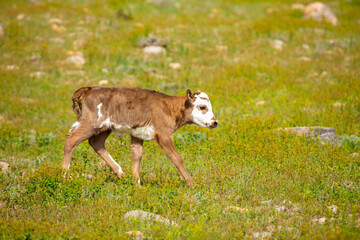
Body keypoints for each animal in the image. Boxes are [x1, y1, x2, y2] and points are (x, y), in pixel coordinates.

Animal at [62, 86, 218, 186]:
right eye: (202, 107)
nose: (215, 122)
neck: (169, 108)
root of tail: (88, 89)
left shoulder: (137, 134)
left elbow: (136, 156)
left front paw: (137, 183)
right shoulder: (164, 135)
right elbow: (176, 158)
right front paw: (192, 184)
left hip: (104, 128)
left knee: (96, 143)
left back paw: (121, 174)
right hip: (91, 124)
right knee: (71, 140)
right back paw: (64, 175)